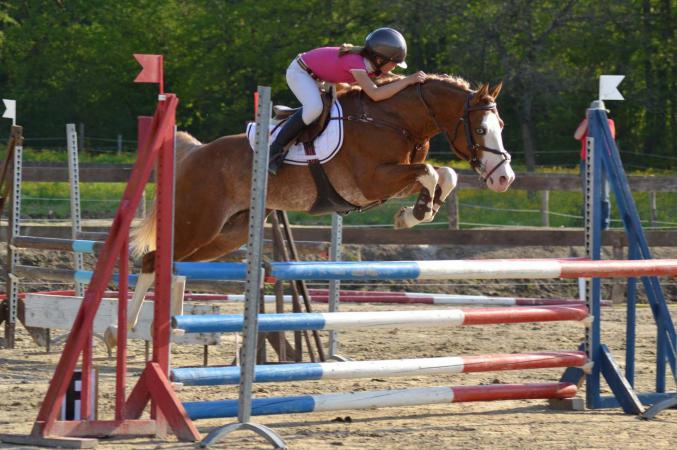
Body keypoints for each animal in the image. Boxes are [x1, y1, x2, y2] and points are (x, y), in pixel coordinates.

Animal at [104, 74, 515, 346]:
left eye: (501, 125)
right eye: (480, 130)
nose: (504, 179)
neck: (394, 121)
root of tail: (195, 154)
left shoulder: (392, 179)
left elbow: (445, 174)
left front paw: (417, 211)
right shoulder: (373, 181)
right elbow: (430, 171)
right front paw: (418, 212)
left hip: (227, 233)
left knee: (174, 264)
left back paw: (165, 330)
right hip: (199, 222)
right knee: (154, 261)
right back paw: (122, 332)